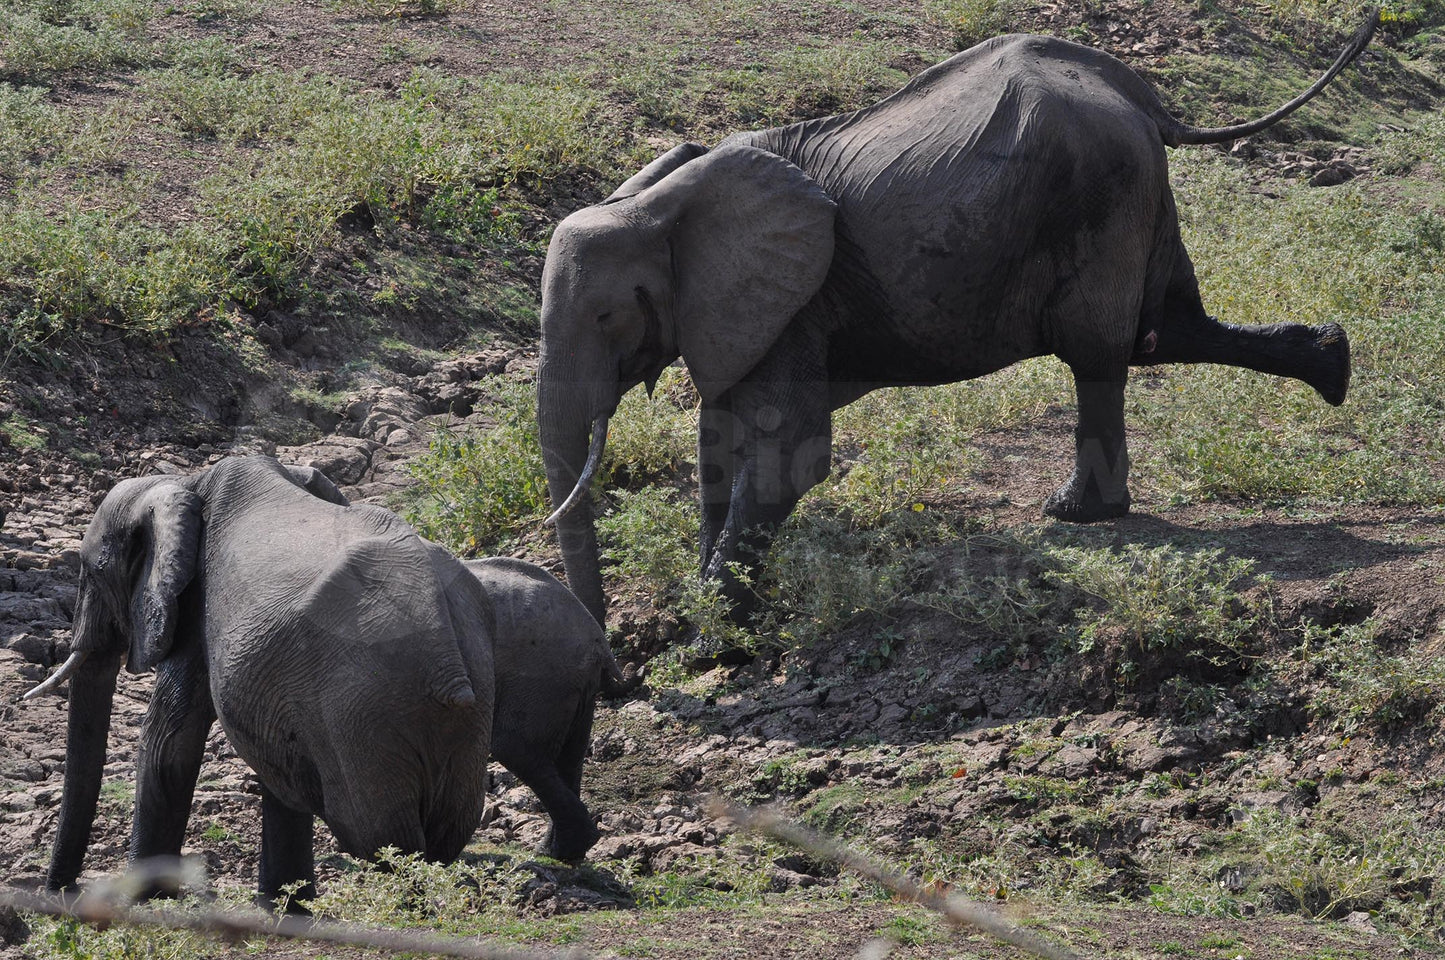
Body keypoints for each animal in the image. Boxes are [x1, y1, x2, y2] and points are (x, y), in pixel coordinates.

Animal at [21, 453, 497, 913]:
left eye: (91, 573)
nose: (64, 894)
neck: (184, 481)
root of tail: (447, 661)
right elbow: (275, 766)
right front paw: (285, 909)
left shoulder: (197, 606)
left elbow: (169, 742)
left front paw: (142, 906)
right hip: (464, 707)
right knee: (442, 829)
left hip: (361, 710)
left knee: (378, 832)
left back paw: (409, 913)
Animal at [462, 555, 621, 861]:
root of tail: (599, 642)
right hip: (574, 688)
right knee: (568, 760)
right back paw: (561, 851)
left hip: (541, 676)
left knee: (513, 747)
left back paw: (561, 850)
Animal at [534, 16, 1375, 630]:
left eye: (607, 315)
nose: (609, 666)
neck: (660, 200)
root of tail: (1144, 101)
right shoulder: (738, 311)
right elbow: (718, 439)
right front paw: (712, 601)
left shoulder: (795, 299)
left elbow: (786, 452)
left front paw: (714, 626)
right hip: (1132, 192)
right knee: (1166, 328)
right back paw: (1332, 364)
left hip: (1101, 193)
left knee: (1100, 353)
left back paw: (1077, 515)